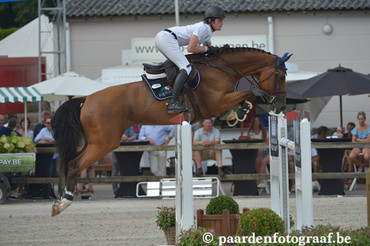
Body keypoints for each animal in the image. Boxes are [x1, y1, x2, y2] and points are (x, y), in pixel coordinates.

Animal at [50, 46, 290, 215]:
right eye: (281, 76)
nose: (281, 106)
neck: (221, 69)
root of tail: (86, 99)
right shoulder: (217, 102)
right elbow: (248, 93)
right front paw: (239, 111)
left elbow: (246, 95)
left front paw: (234, 114)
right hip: (104, 143)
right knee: (75, 164)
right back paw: (64, 202)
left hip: (94, 142)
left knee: (73, 161)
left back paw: (61, 200)